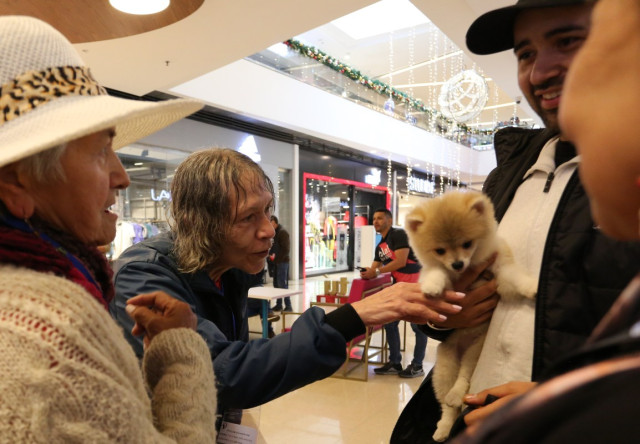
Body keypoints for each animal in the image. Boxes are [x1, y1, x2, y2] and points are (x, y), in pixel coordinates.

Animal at [404, 190, 536, 440]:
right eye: (440, 250)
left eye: (467, 244)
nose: (457, 263)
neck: (469, 268)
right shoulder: (439, 271)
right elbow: (436, 272)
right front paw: (433, 287)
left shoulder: (500, 269)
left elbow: (514, 276)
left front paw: (531, 286)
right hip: (445, 364)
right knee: (447, 404)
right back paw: (444, 427)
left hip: (474, 350)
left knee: (464, 378)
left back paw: (456, 396)